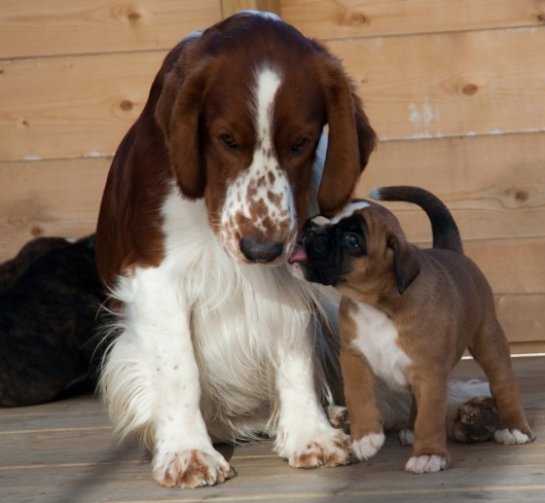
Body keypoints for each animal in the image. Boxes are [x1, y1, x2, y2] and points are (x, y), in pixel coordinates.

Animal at [96, 11, 396, 490]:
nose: (259, 248)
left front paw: (310, 435)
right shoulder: (157, 277)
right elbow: (179, 369)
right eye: (226, 139)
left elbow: (295, 352)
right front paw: (187, 452)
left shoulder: (291, 268)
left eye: (300, 142)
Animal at [292, 187, 532, 474]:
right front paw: (366, 437)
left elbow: (430, 416)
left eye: (352, 239)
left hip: (487, 339)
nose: (312, 226)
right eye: (328, 215)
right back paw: (409, 429)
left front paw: (428, 454)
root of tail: (449, 250)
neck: (378, 305)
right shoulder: (353, 357)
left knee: (503, 381)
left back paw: (514, 427)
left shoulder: (429, 371)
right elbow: (358, 395)